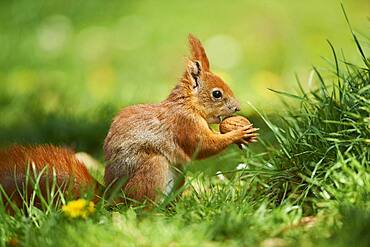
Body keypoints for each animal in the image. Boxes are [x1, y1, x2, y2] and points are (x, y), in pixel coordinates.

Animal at [0, 34, 258, 206]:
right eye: (217, 93)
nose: (237, 107)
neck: (188, 105)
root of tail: (110, 198)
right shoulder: (183, 124)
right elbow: (202, 146)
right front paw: (238, 134)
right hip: (153, 168)